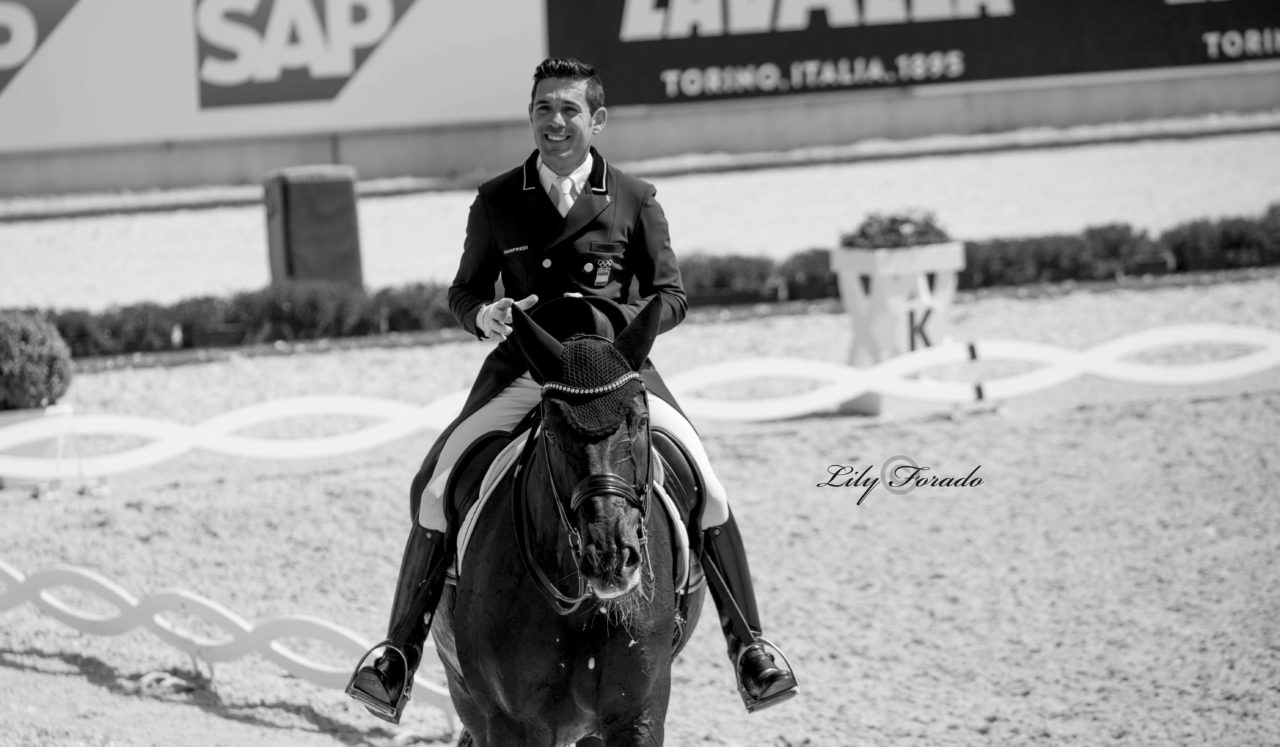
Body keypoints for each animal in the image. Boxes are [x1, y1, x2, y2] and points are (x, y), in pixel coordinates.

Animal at [430, 299, 711, 747]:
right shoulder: (510, 722)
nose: (610, 557)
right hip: (467, 696)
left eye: (640, 420)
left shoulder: (638, 715)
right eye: (550, 431)